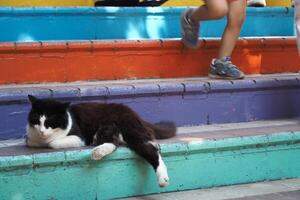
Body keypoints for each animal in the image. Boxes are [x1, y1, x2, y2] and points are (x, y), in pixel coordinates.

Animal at [26, 94, 176, 187]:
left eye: (50, 121)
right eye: (36, 119)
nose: (42, 131)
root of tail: (135, 114)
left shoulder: (79, 137)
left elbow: (52, 143)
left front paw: (49, 141)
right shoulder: (30, 138)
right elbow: (32, 141)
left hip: (127, 130)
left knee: (152, 149)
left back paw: (163, 179)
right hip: (109, 130)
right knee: (115, 143)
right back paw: (98, 152)